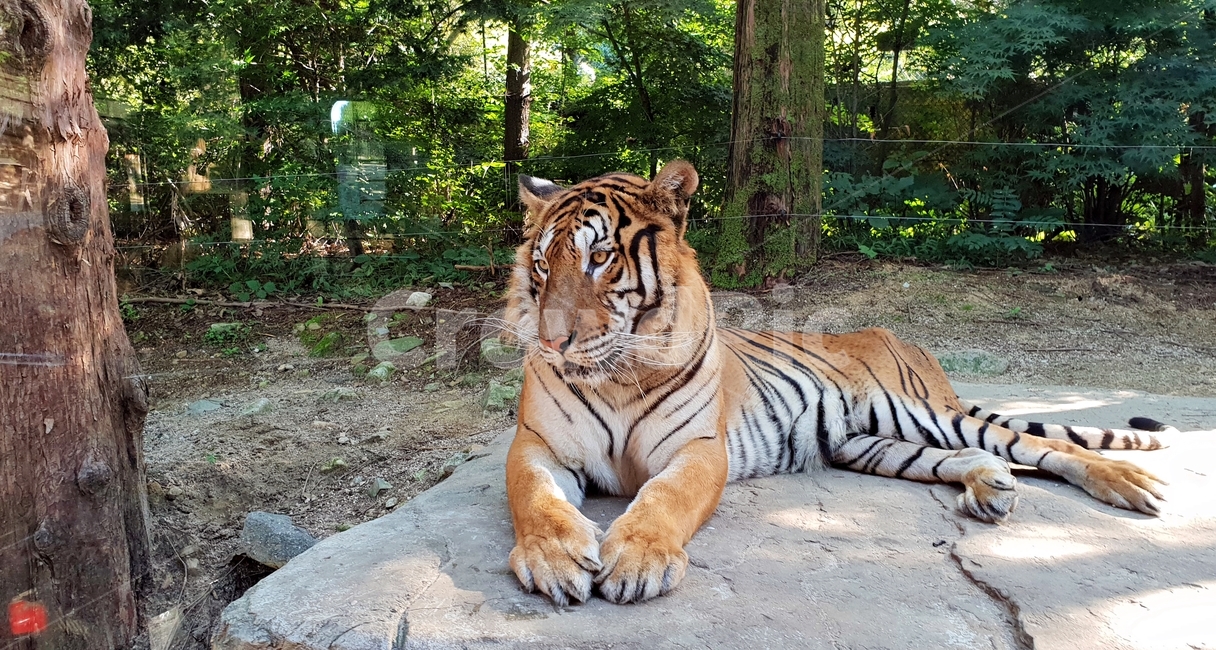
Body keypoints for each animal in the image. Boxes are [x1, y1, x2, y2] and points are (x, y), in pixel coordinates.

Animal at [501, 159, 1172, 607]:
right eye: (542, 264)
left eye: (599, 258)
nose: (551, 343)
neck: (616, 374)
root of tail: (904, 339)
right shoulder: (537, 444)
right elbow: (536, 498)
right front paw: (555, 559)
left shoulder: (697, 449)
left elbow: (666, 496)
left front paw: (638, 559)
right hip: (868, 441)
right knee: (969, 456)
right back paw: (991, 490)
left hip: (913, 411)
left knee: (1041, 445)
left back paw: (1132, 484)